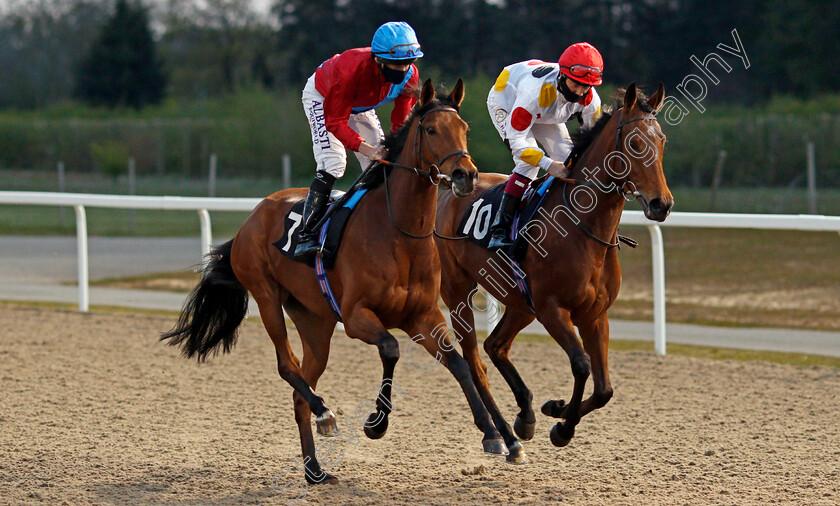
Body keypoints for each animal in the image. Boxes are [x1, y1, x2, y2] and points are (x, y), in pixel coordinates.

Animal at [162, 79, 512, 482]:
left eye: (464, 128)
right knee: (287, 366)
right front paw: (376, 423)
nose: (465, 175)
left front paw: (492, 435)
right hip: (266, 297)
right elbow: (390, 349)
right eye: (430, 129)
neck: (399, 234)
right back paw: (325, 414)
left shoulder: (423, 316)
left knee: (300, 386)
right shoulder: (357, 316)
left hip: (315, 322)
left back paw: (314, 468)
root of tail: (252, 217)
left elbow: (458, 363)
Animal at [436, 83, 672, 462]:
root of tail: (452, 190)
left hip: (520, 301)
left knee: (495, 345)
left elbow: (605, 389)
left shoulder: (594, 314)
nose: (661, 204)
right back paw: (499, 436)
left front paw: (556, 411)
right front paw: (563, 428)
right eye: (636, 143)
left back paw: (526, 415)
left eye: (661, 140)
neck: (583, 227)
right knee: (474, 360)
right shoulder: (552, 308)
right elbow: (581, 364)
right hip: (459, 292)